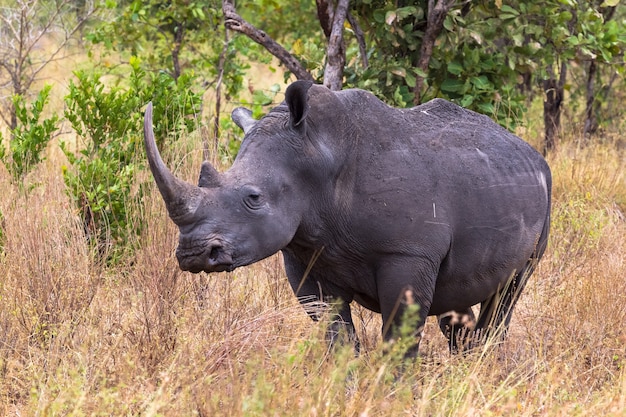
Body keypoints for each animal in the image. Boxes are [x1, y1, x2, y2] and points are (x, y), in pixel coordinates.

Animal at [143, 81, 552, 354]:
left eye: (253, 198)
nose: (194, 254)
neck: (317, 156)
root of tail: (532, 153)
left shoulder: (407, 252)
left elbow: (398, 336)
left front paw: (392, 395)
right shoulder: (304, 253)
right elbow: (336, 335)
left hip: (543, 196)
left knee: (509, 291)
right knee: (458, 298)